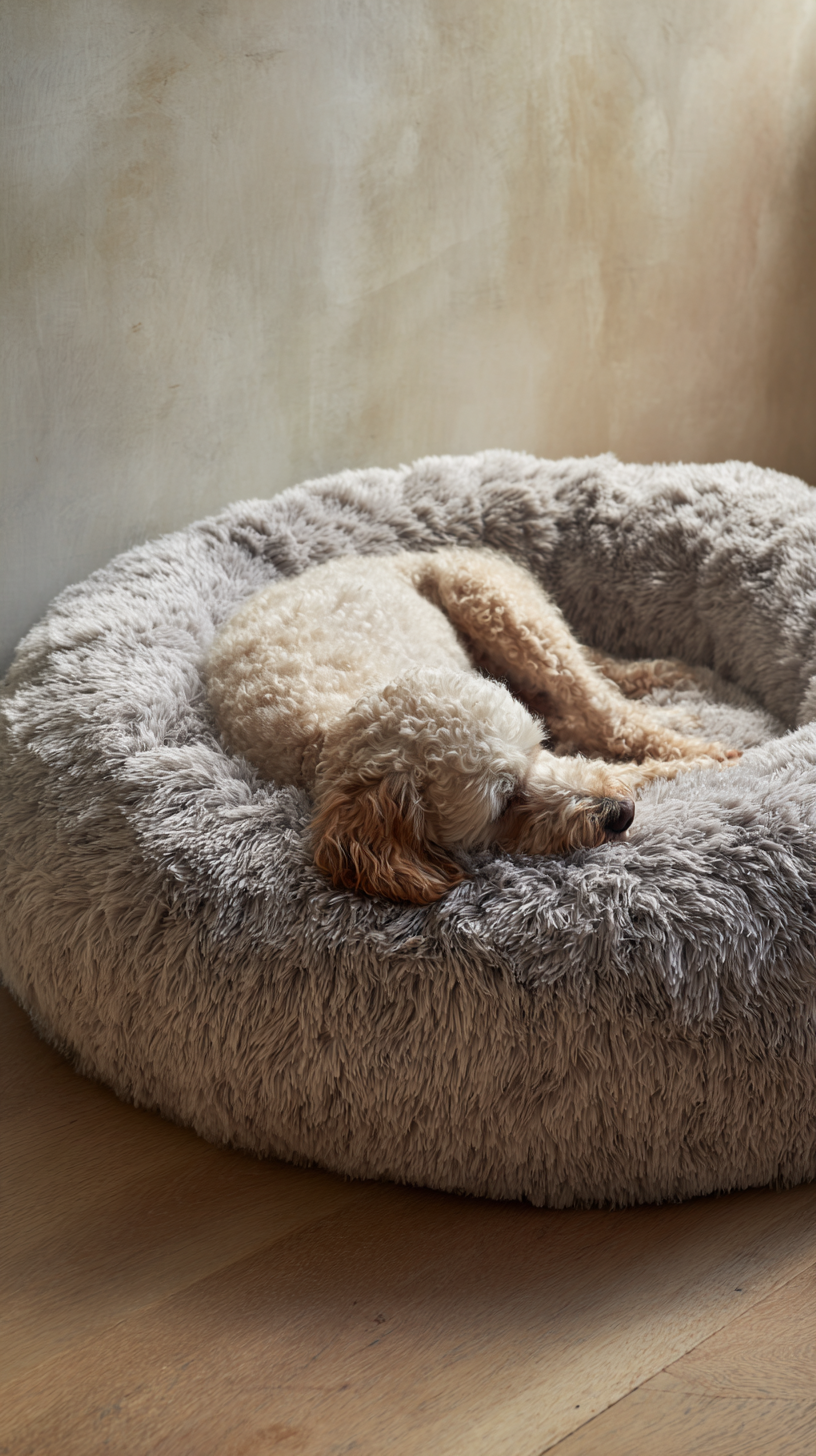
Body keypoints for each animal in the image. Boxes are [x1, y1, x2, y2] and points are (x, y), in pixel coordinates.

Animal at [206, 548, 740, 903]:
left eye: (536, 749)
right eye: (505, 805)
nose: (621, 814)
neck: (326, 721)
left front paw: (694, 765)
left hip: (498, 607)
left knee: (606, 706)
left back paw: (697, 730)